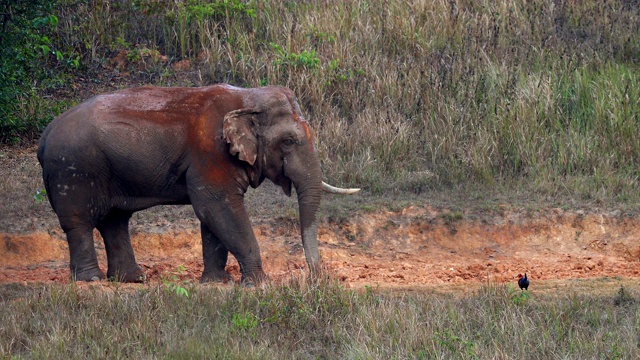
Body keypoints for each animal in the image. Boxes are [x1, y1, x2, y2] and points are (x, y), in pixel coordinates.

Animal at [37, 84, 360, 284]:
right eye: (289, 141)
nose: (318, 278)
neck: (247, 98)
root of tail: (46, 132)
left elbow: (212, 216)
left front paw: (217, 282)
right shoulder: (211, 152)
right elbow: (217, 207)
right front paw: (259, 283)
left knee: (115, 220)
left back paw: (132, 279)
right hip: (73, 169)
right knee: (79, 221)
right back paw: (90, 280)